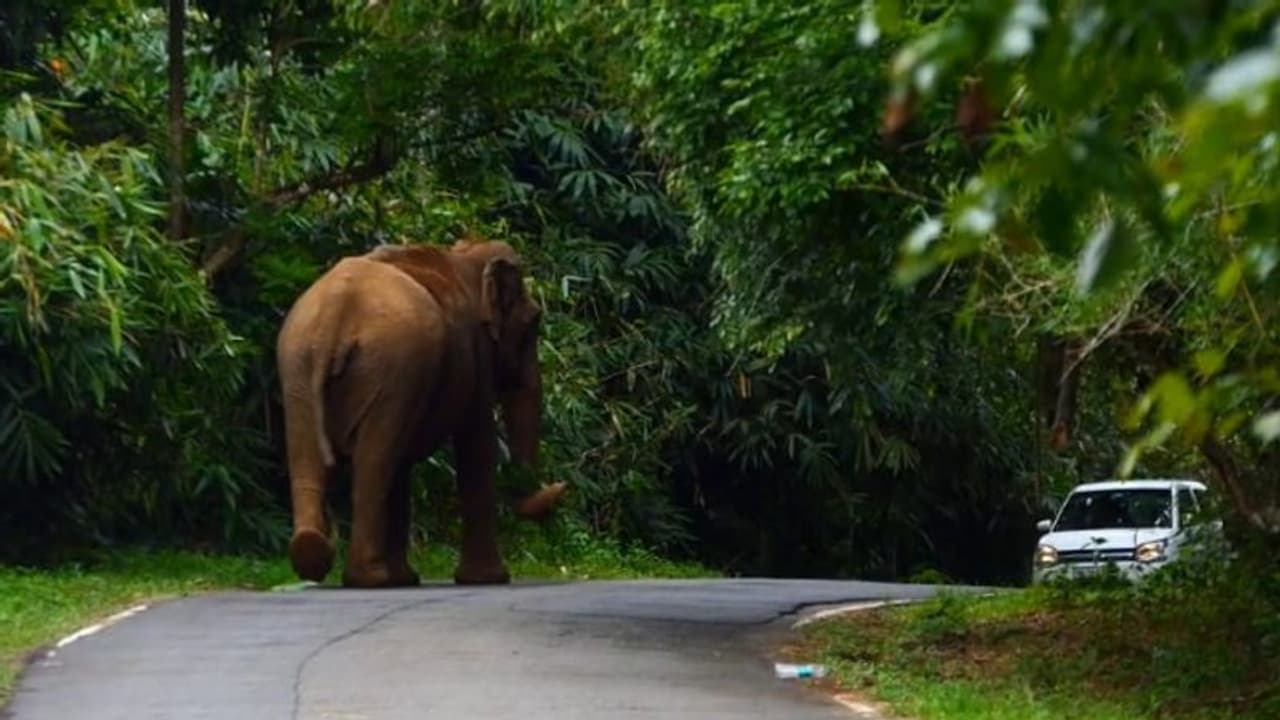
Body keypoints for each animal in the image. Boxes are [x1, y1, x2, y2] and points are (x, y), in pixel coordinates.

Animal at [276, 237, 566, 587]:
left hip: (299, 367)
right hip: (388, 365)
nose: (562, 486)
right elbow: (477, 445)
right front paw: (489, 579)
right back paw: (372, 579)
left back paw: (315, 556)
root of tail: (336, 310)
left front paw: (407, 578)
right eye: (533, 321)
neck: (466, 256)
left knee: (312, 459)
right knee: (375, 462)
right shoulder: (476, 354)